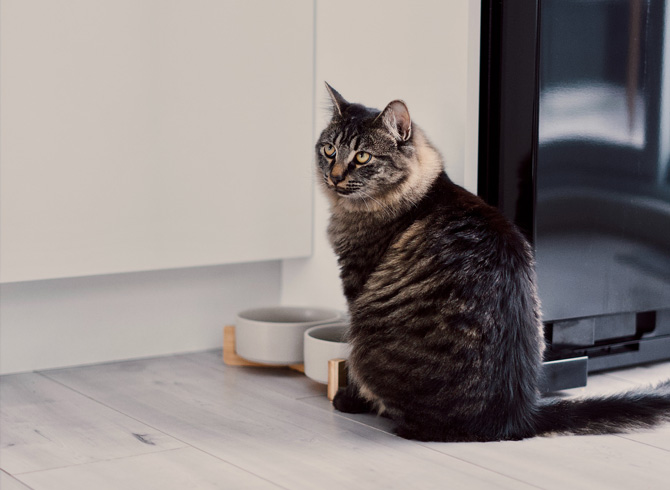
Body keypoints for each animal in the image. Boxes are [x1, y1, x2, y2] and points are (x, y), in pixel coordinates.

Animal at [316, 82, 670, 442]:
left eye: (362, 157)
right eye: (329, 150)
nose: (334, 176)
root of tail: (517, 416)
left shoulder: (357, 283)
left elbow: (353, 374)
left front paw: (348, 398)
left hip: (365, 336)